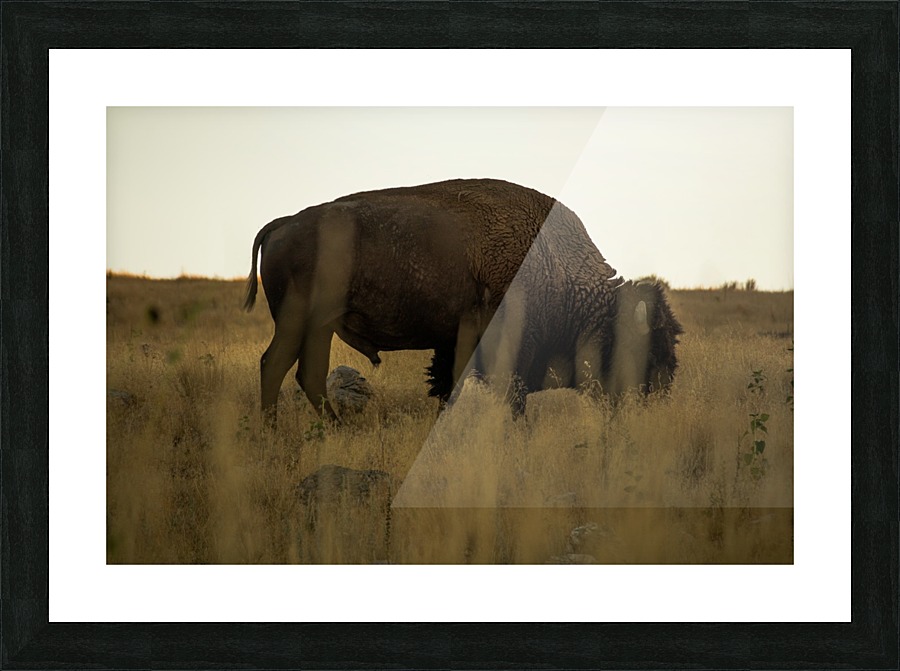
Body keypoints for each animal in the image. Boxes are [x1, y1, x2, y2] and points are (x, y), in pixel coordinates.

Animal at [244, 178, 682, 422]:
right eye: (648, 344)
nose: (660, 391)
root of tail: (284, 223)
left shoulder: (453, 343)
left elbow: (447, 388)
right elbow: (508, 397)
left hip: (321, 327)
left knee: (309, 374)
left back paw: (333, 431)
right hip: (297, 321)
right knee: (275, 364)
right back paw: (272, 432)